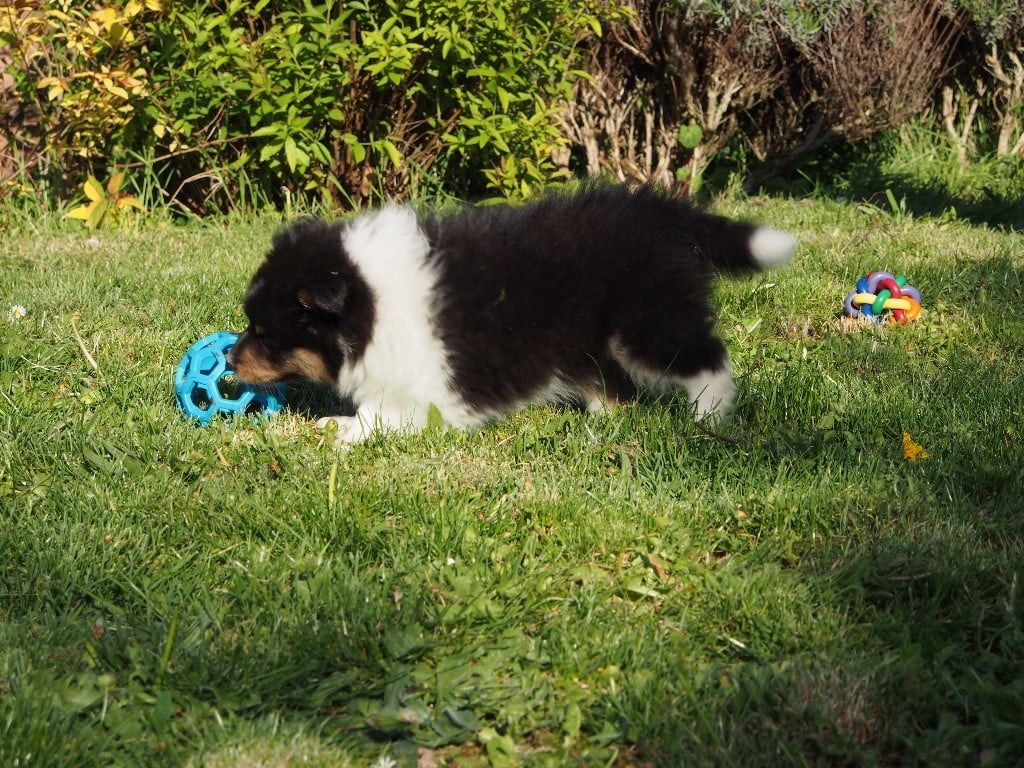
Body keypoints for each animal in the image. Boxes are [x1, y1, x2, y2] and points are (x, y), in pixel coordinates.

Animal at [228, 183, 794, 442]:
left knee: (706, 357)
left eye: (265, 333)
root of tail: (669, 214)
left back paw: (710, 416)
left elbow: (385, 413)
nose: (230, 360)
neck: (368, 302)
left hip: (645, 320)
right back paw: (600, 419)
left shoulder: (434, 379)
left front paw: (342, 430)